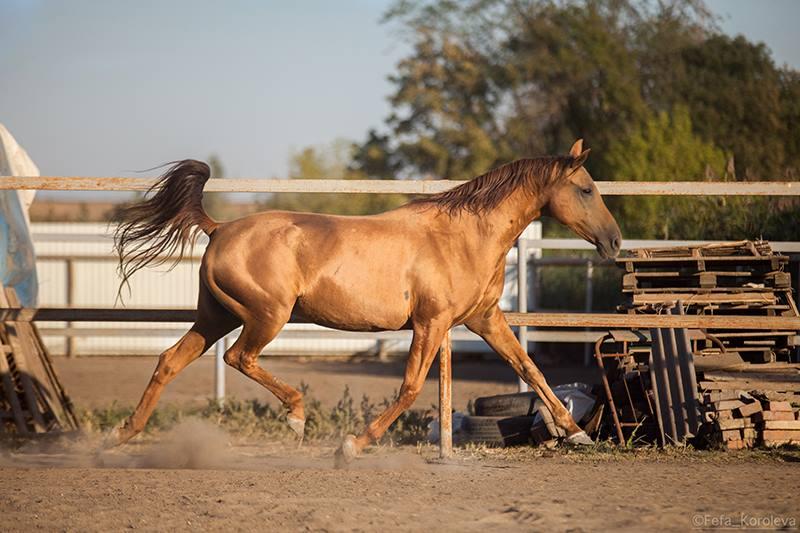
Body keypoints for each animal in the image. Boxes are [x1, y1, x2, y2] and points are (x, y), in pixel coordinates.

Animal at [109, 139, 621, 465]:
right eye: (586, 189)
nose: (614, 242)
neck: (462, 236)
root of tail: (218, 229)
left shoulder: (484, 319)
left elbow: (530, 368)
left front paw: (576, 433)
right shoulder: (431, 323)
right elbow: (410, 388)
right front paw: (350, 447)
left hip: (215, 317)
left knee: (170, 361)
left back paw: (117, 437)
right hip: (266, 317)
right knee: (239, 358)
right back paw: (296, 418)